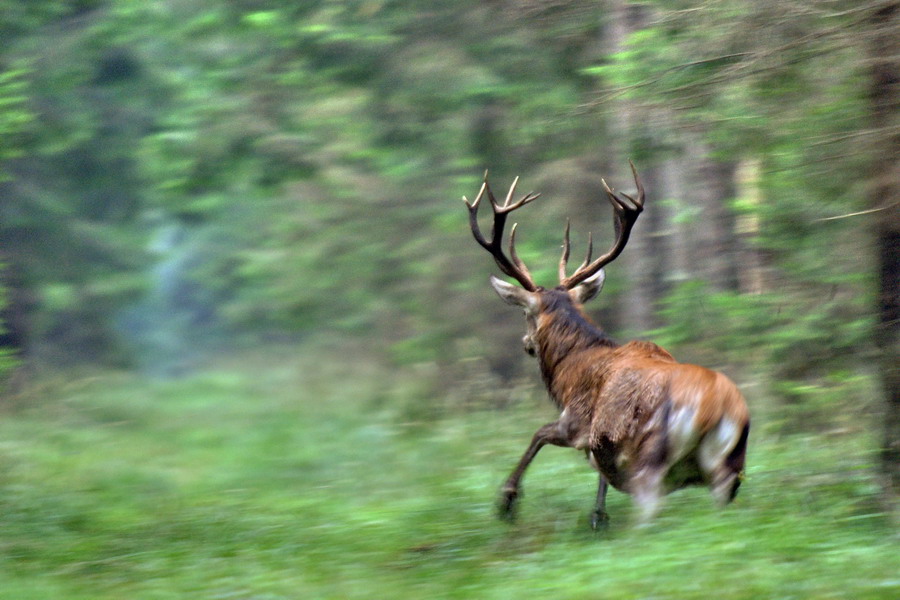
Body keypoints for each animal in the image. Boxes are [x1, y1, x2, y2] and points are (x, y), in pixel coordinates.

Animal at [460, 162, 748, 528]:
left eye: (525, 313)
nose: (526, 344)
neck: (569, 371)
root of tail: (718, 407)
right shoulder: (601, 439)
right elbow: (600, 472)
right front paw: (598, 515)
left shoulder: (577, 423)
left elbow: (537, 435)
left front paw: (507, 499)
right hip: (728, 464)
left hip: (653, 453)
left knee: (650, 504)